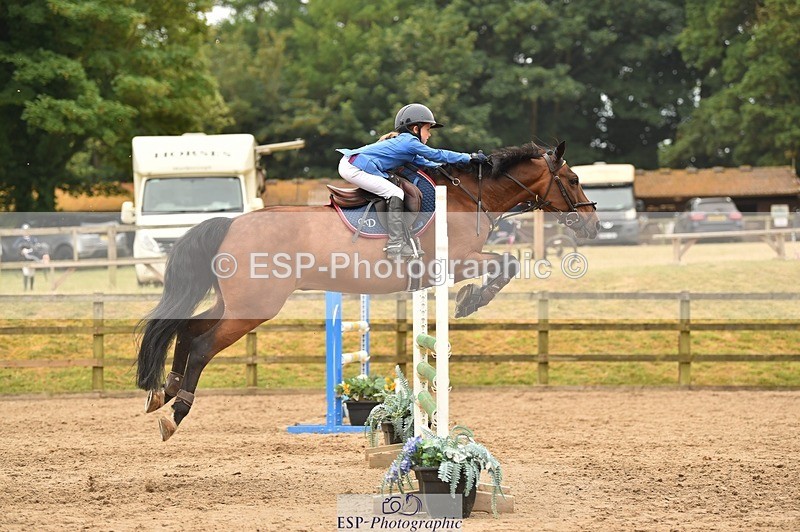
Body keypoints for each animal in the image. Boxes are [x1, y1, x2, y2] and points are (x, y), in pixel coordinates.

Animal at [136, 140, 599, 440]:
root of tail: (232, 222)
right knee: (202, 345)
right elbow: (506, 264)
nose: (592, 225)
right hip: (253, 308)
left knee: (187, 329)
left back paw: (164, 391)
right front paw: (472, 300)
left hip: (237, 303)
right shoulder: (455, 262)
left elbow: (506, 264)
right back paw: (175, 412)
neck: (472, 196)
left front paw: (471, 300)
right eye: (575, 179)